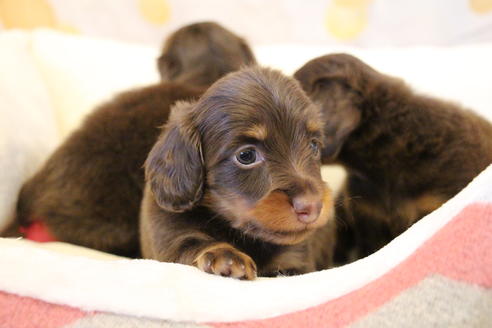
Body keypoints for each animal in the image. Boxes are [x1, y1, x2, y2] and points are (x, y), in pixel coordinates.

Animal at [140, 67, 336, 280]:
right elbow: (192, 244)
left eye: (313, 145)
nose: (313, 207)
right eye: (246, 155)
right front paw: (225, 256)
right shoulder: (172, 235)